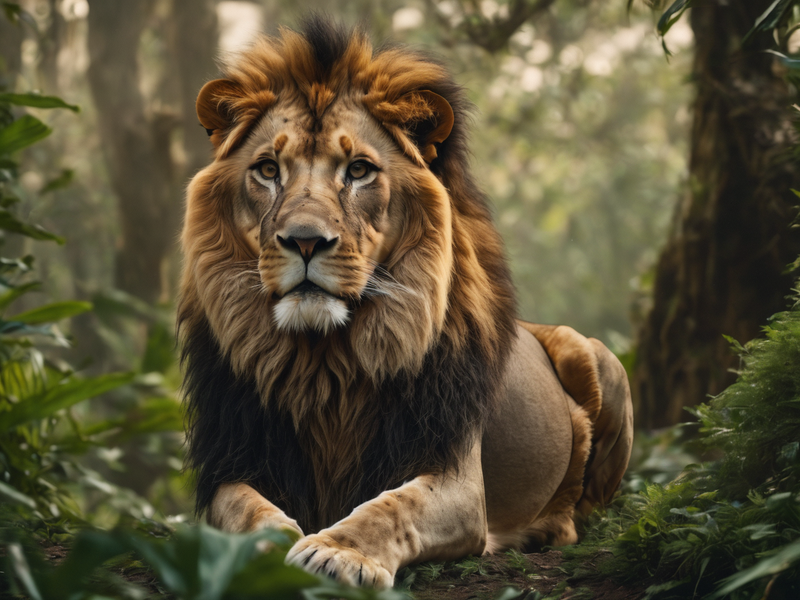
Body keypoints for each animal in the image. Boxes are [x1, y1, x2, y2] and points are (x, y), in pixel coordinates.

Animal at [178, 17, 633, 589]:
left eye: (358, 170)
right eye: (267, 170)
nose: (304, 241)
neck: (325, 362)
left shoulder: (457, 478)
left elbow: (391, 507)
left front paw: (336, 552)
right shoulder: (232, 460)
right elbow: (245, 510)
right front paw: (263, 550)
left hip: (598, 357)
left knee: (580, 515)